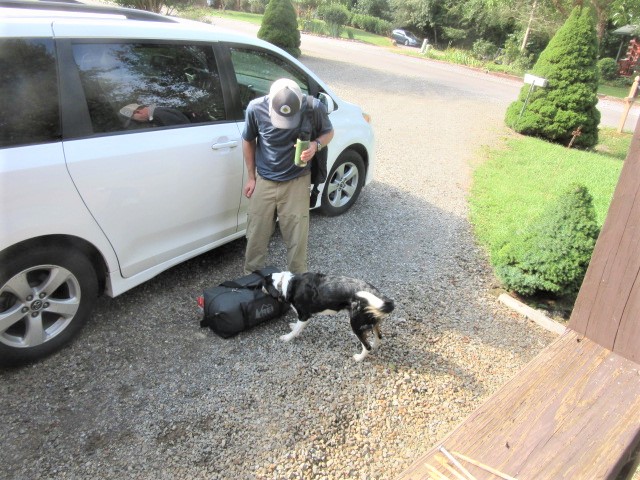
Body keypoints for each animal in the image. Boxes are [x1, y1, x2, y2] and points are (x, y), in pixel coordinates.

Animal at [262, 271, 395, 361]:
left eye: (263, 283)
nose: (260, 287)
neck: (286, 283)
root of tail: (378, 295)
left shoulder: (304, 316)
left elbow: (295, 331)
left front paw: (286, 338)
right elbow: (296, 327)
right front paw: (293, 326)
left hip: (356, 324)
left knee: (367, 346)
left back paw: (359, 358)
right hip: (371, 322)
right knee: (379, 337)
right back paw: (374, 344)